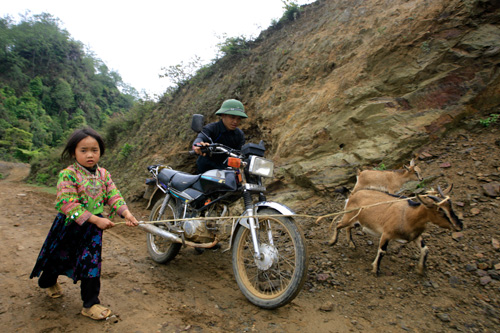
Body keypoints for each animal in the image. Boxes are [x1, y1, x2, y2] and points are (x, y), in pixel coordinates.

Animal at [330, 184, 462, 274]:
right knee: (338, 223)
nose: (459, 226)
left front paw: (420, 269)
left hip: (358, 222)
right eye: (440, 210)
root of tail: (352, 195)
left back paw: (351, 244)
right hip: (349, 217)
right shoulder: (386, 234)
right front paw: (375, 270)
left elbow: (425, 249)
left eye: (451, 206)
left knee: (348, 227)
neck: (408, 215)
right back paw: (332, 242)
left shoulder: (415, 236)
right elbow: (382, 251)